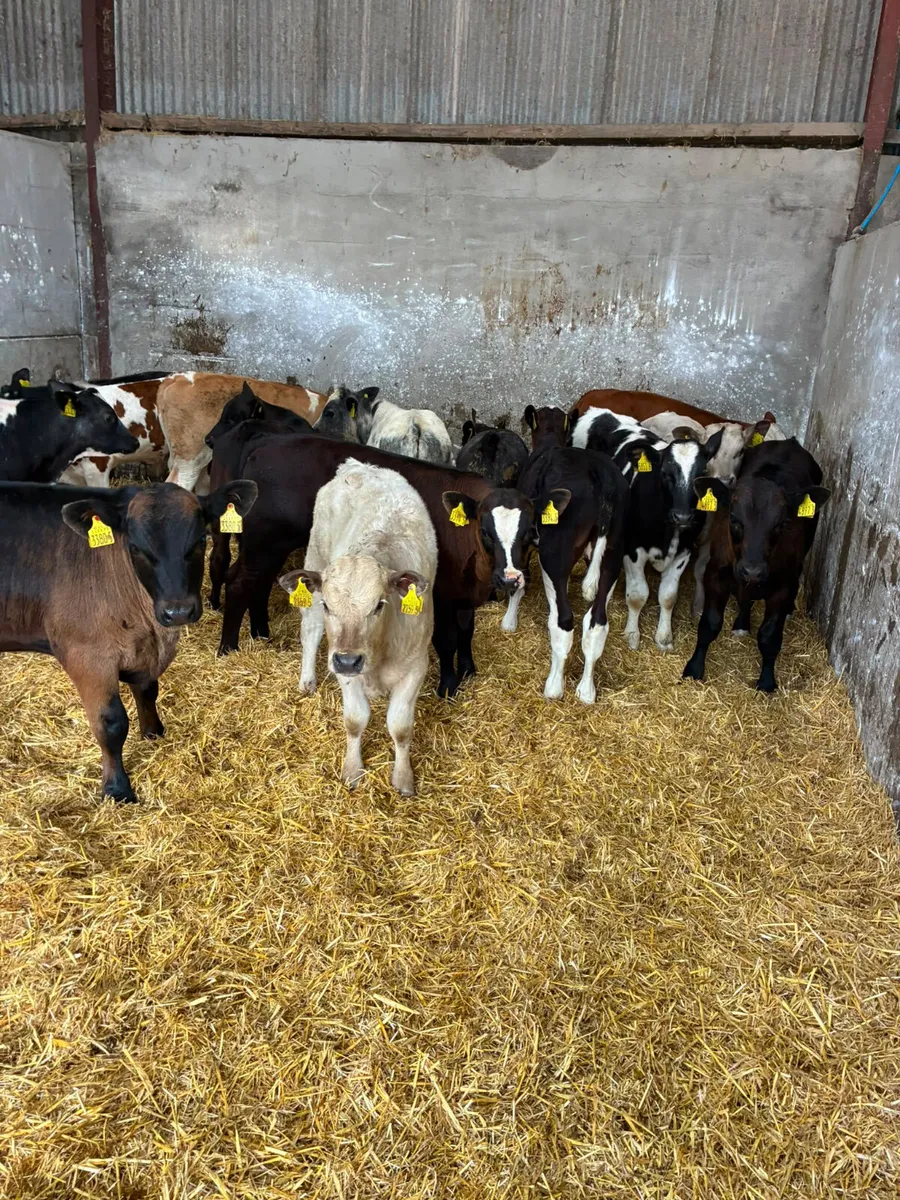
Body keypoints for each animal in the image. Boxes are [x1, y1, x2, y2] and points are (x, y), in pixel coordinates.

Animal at [0, 478, 257, 802]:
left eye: (201, 540)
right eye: (135, 547)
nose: (178, 611)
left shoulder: (143, 654)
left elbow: (147, 692)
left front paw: (153, 732)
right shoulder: (87, 658)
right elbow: (110, 724)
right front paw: (117, 788)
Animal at [217, 435, 533, 698]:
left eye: (530, 533)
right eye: (486, 531)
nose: (510, 578)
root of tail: (266, 444)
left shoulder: (464, 593)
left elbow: (467, 631)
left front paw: (468, 670)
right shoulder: (441, 593)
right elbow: (448, 640)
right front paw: (448, 686)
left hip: (269, 549)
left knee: (256, 585)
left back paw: (260, 633)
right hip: (265, 543)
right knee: (239, 583)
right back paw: (228, 649)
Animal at [278, 461, 437, 795]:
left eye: (379, 604)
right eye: (329, 605)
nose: (348, 661)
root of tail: (359, 466)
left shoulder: (416, 667)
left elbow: (401, 728)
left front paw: (403, 778)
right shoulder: (343, 666)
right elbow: (355, 720)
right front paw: (352, 770)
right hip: (315, 557)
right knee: (311, 632)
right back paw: (307, 679)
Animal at [571, 407, 724, 652]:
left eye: (701, 473)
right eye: (665, 473)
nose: (683, 516)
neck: (668, 532)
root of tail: (599, 411)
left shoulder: (684, 551)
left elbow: (668, 596)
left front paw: (664, 636)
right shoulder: (632, 549)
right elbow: (637, 595)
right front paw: (632, 634)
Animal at [683, 439, 830, 692]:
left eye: (781, 524)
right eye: (733, 518)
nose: (753, 570)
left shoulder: (781, 586)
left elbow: (769, 636)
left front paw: (767, 681)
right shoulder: (716, 575)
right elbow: (709, 624)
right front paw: (694, 668)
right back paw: (742, 623)